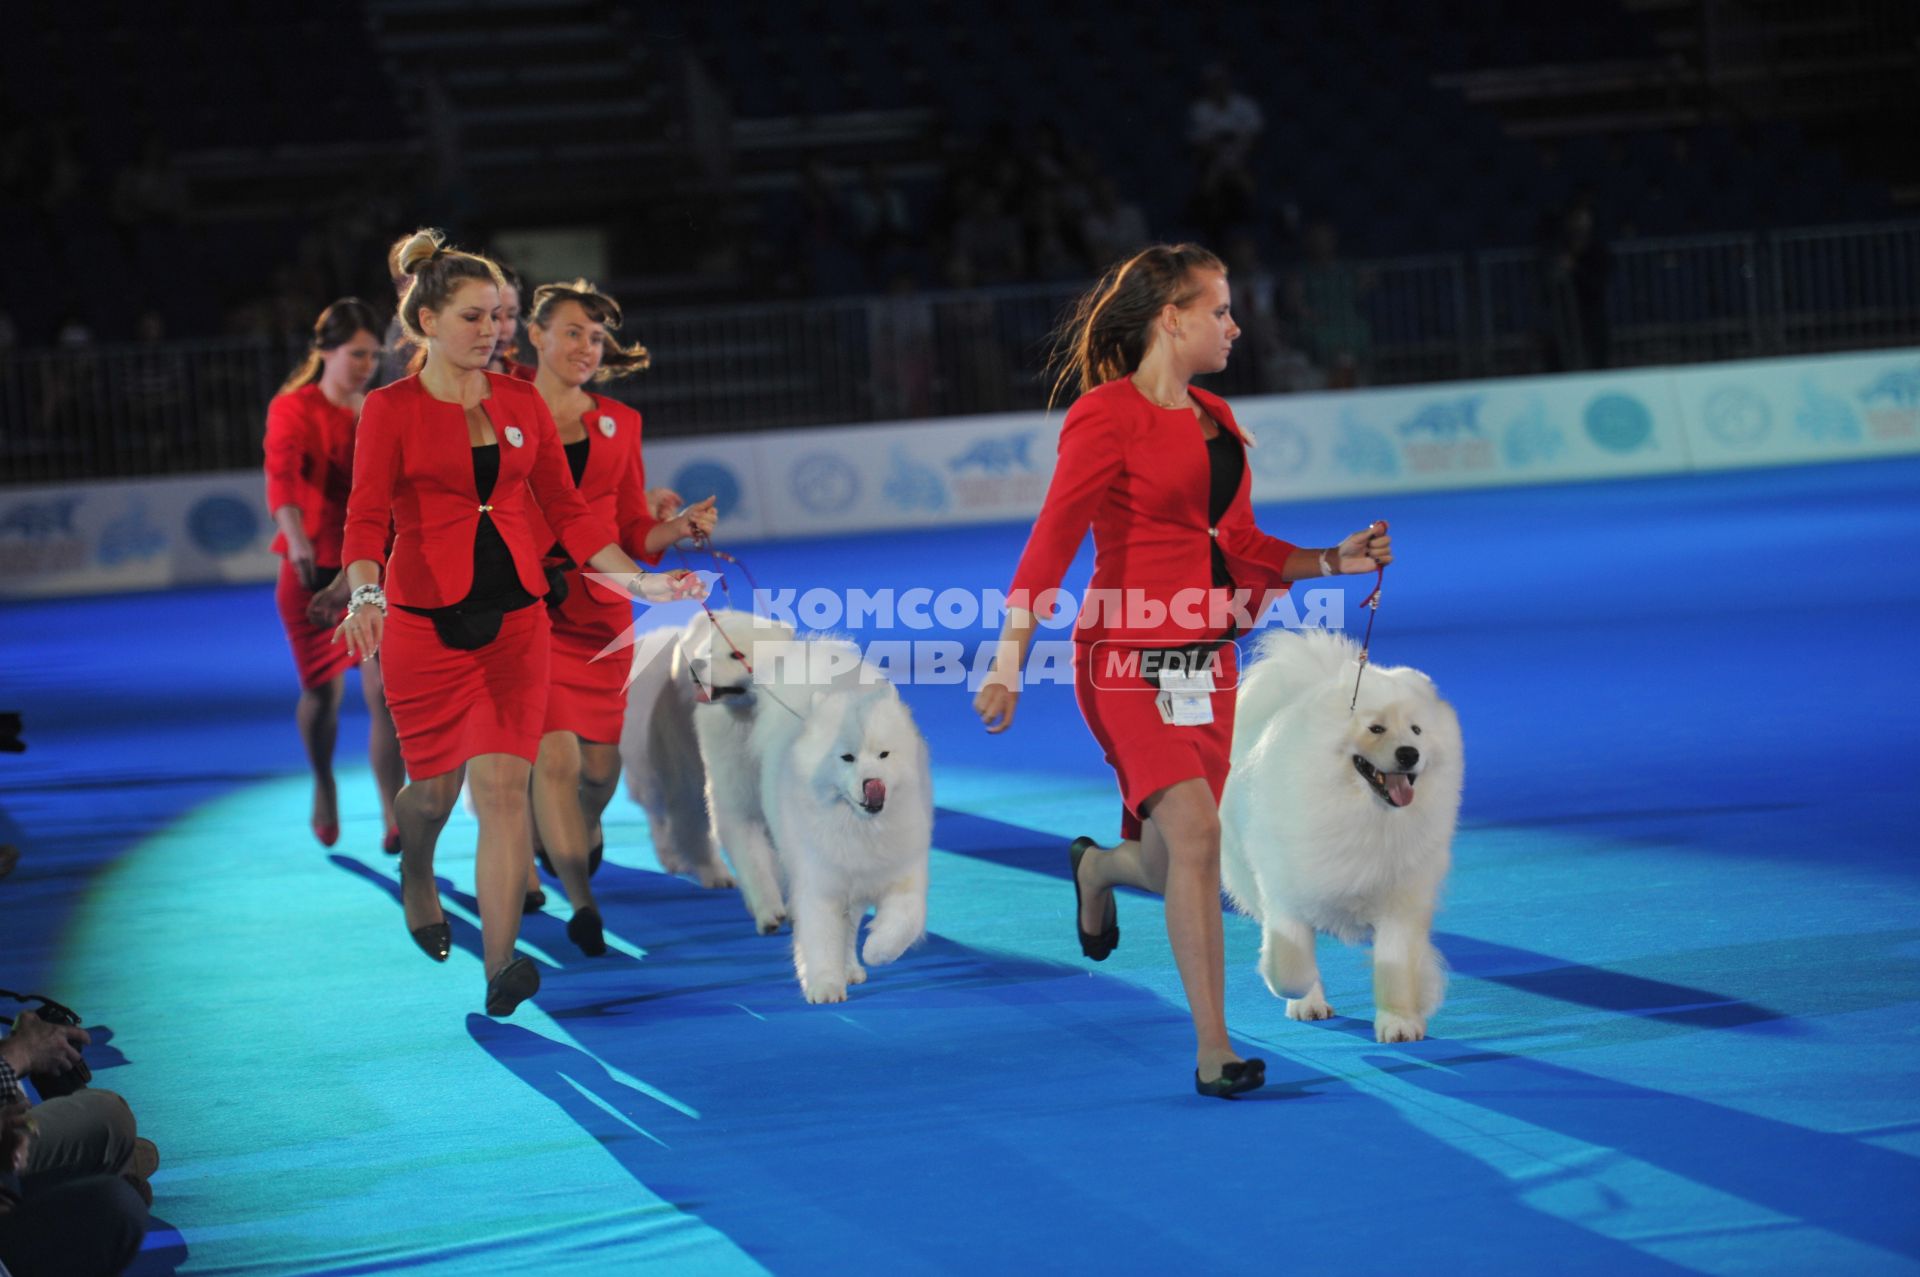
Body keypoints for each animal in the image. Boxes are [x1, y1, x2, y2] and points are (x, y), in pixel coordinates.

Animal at [744, 637, 933, 1006]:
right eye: (847, 758)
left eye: (884, 754)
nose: (873, 783)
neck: (862, 829)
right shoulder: (822, 886)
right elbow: (821, 939)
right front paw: (825, 986)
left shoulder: (900, 873)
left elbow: (904, 920)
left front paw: (877, 951)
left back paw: (854, 967)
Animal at [1221, 626, 1459, 1036]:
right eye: (1376, 728)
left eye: (1417, 730)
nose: (1409, 753)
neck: (1365, 817)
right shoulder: (1287, 892)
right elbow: (1290, 964)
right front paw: (1298, 991)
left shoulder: (1401, 900)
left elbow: (1396, 968)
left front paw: (1400, 1023)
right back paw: (1309, 1004)